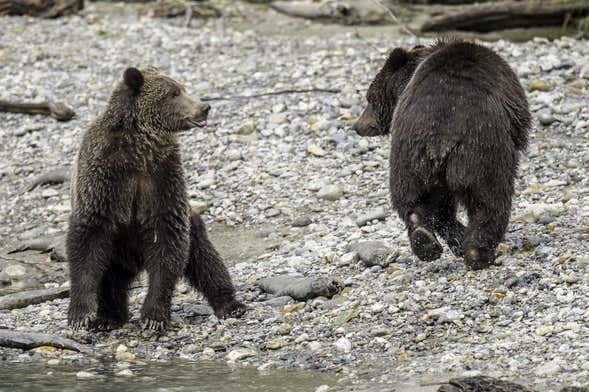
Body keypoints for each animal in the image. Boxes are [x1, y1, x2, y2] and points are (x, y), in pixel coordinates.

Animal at [67, 67, 246, 330]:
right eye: (173, 93)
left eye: (183, 89)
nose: (204, 107)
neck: (139, 146)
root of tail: (134, 263)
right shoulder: (104, 177)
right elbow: (88, 241)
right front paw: (81, 314)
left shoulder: (162, 178)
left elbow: (167, 240)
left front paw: (153, 316)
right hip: (117, 249)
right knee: (109, 278)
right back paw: (108, 317)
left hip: (190, 223)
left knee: (205, 258)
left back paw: (230, 304)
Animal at [352, 39, 532, 272]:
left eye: (369, 99)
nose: (358, 126)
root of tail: (440, 135)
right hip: (481, 154)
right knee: (490, 200)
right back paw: (478, 253)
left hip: (408, 158)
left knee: (412, 200)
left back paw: (427, 241)